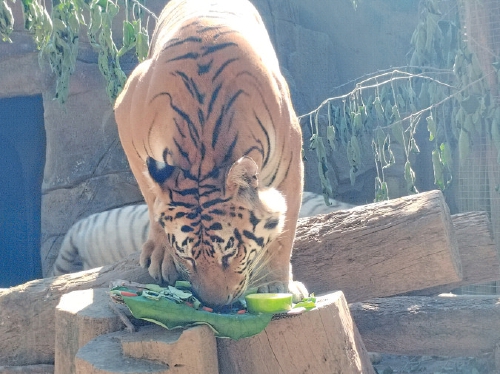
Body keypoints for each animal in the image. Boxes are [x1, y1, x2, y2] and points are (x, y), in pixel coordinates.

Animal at [113, 0, 304, 306]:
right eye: (187, 256)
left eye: (230, 253)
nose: (216, 305)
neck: (203, 151)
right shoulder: (125, 119)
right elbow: (152, 199)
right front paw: (163, 253)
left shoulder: (290, 163)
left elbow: (284, 232)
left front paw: (274, 285)